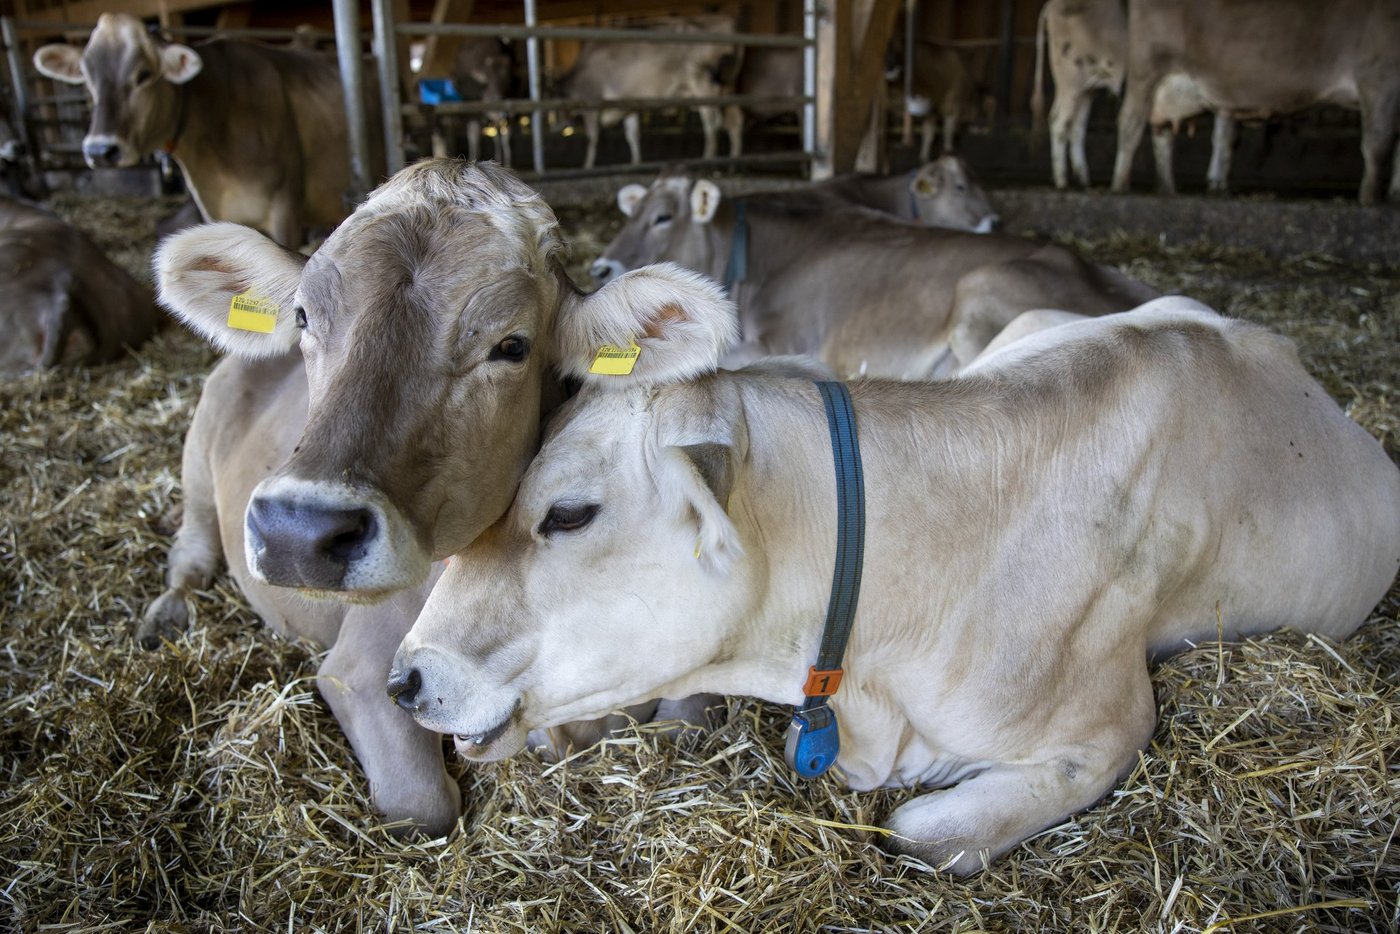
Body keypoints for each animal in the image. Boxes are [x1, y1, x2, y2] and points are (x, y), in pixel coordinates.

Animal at [147, 159, 721, 835]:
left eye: (511, 345)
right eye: (304, 318)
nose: (297, 530)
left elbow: (689, 722)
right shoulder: (359, 667)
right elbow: (422, 806)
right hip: (198, 455)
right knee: (191, 546)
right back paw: (167, 613)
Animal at [554, 17, 736, 169]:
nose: (558, 126)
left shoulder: (591, 104)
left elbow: (592, 139)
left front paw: (587, 166)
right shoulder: (628, 106)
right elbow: (632, 135)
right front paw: (636, 163)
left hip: (703, 89)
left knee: (712, 125)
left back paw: (708, 160)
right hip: (725, 91)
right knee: (732, 122)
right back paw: (729, 163)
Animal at [1031, 0, 1237, 193]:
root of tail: (1053, 5)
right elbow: (1223, 137)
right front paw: (1217, 184)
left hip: (1087, 88)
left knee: (1077, 126)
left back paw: (1083, 180)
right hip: (1071, 79)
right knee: (1059, 120)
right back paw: (1062, 181)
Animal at [1110, 0, 1400, 205]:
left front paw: (1394, 195)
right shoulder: (1380, 78)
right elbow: (1378, 143)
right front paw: (1370, 198)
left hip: (1170, 88)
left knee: (1162, 130)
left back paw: (1168, 189)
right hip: (1147, 68)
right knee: (1131, 122)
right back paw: (1120, 185)